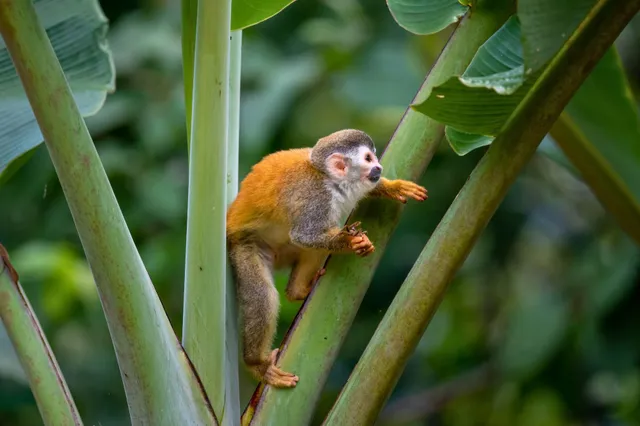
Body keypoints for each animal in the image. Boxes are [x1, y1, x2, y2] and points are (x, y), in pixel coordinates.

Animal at [226, 129, 428, 388]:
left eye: (375, 157)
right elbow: (304, 235)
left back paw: (297, 291)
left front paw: (393, 187)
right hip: (243, 246)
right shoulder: (317, 199)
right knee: (263, 295)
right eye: (368, 158)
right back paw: (257, 365)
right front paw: (351, 242)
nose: (379, 167)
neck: (330, 180)